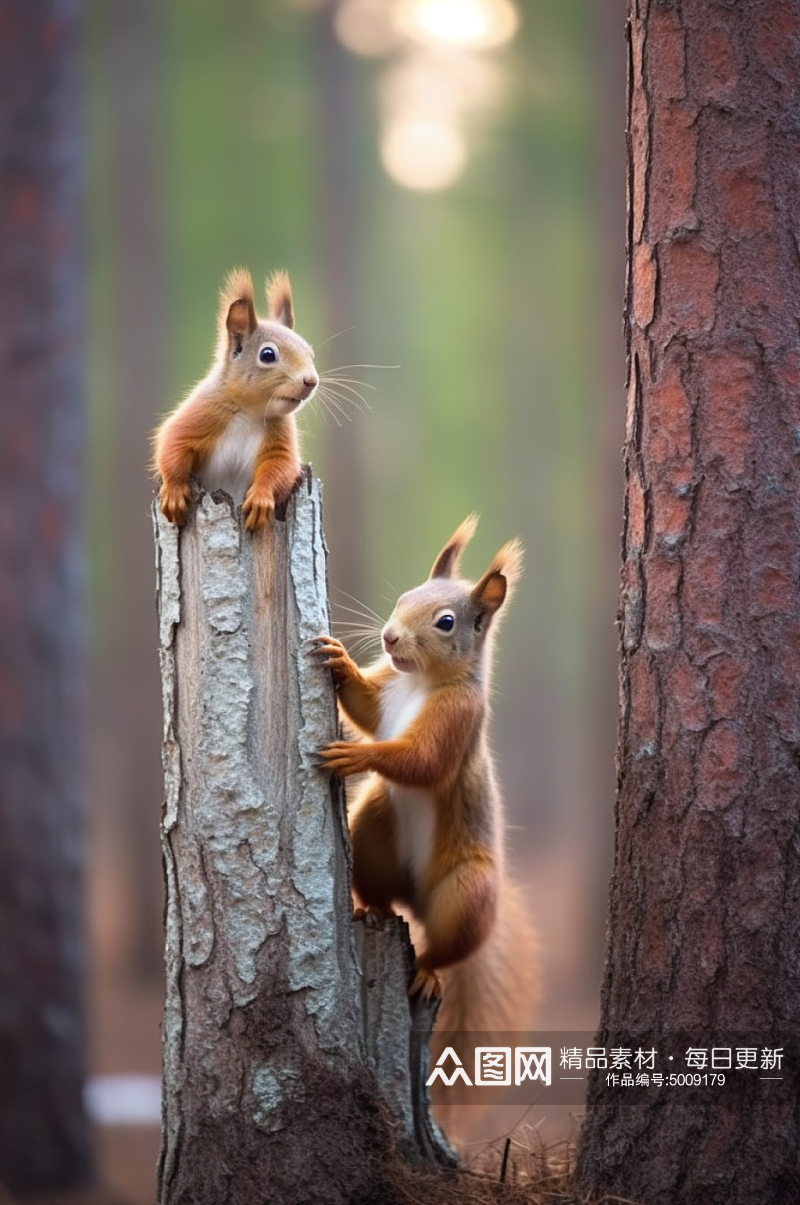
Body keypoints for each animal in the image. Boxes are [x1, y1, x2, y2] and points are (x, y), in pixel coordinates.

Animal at [153, 268, 318, 532]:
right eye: (267, 354)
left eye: (310, 353)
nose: (311, 381)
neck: (250, 412)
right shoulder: (202, 412)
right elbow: (173, 444)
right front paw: (175, 493)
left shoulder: (279, 437)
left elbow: (280, 466)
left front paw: (261, 499)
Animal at [313, 513, 537, 1079]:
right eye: (404, 596)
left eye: (446, 623)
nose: (390, 636)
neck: (418, 683)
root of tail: (414, 897)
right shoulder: (386, 691)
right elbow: (366, 709)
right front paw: (340, 662)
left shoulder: (459, 719)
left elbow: (421, 761)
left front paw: (357, 757)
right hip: (372, 831)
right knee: (379, 891)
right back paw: (367, 910)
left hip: (467, 892)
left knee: (445, 947)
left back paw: (431, 972)